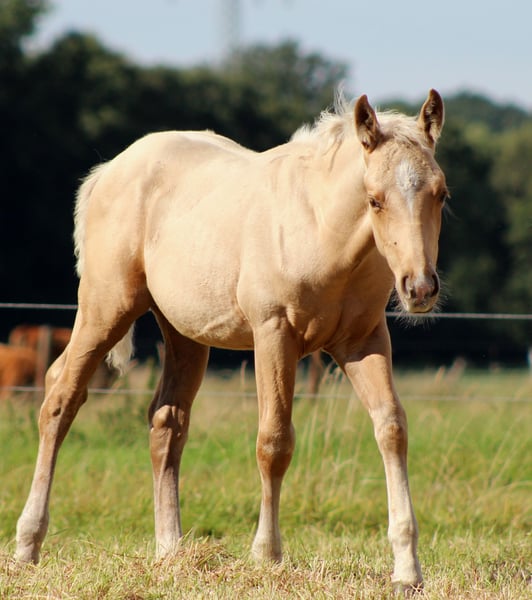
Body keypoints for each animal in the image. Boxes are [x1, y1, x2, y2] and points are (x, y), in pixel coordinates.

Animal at [15, 90, 448, 593]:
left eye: (441, 194)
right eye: (374, 200)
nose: (419, 289)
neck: (321, 230)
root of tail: (109, 171)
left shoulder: (364, 341)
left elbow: (392, 428)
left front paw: (407, 570)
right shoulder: (274, 334)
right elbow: (274, 442)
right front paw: (267, 555)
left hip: (184, 333)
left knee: (166, 421)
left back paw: (171, 552)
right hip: (106, 309)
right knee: (60, 399)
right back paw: (27, 545)